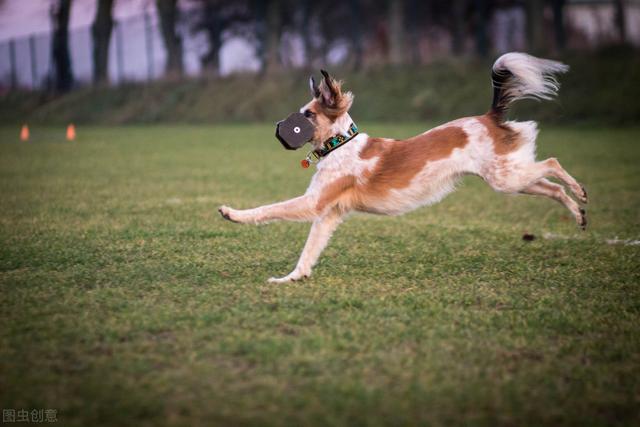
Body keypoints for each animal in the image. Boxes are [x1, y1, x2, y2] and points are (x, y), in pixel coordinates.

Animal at [219, 51, 584, 282]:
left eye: (307, 114)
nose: (280, 127)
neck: (342, 144)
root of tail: (489, 117)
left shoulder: (314, 203)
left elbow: (268, 209)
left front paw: (232, 214)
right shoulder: (329, 213)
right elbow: (309, 250)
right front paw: (293, 278)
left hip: (506, 178)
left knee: (553, 164)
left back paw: (579, 191)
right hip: (510, 177)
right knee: (552, 188)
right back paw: (578, 212)